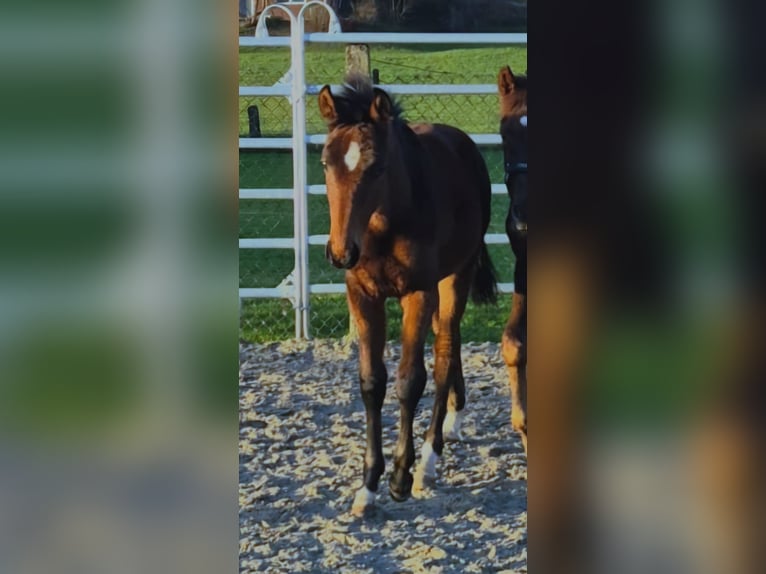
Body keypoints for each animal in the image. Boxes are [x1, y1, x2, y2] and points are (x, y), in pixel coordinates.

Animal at [318, 74, 498, 516]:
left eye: (377, 167)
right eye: (326, 163)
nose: (340, 252)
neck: (383, 225)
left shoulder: (417, 293)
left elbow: (410, 379)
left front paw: (400, 476)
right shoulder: (362, 294)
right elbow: (371, 382)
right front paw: (367, 486)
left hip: (455, 277)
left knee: (446, 353)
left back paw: (430, 460)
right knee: (449, 347)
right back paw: (453, 420)